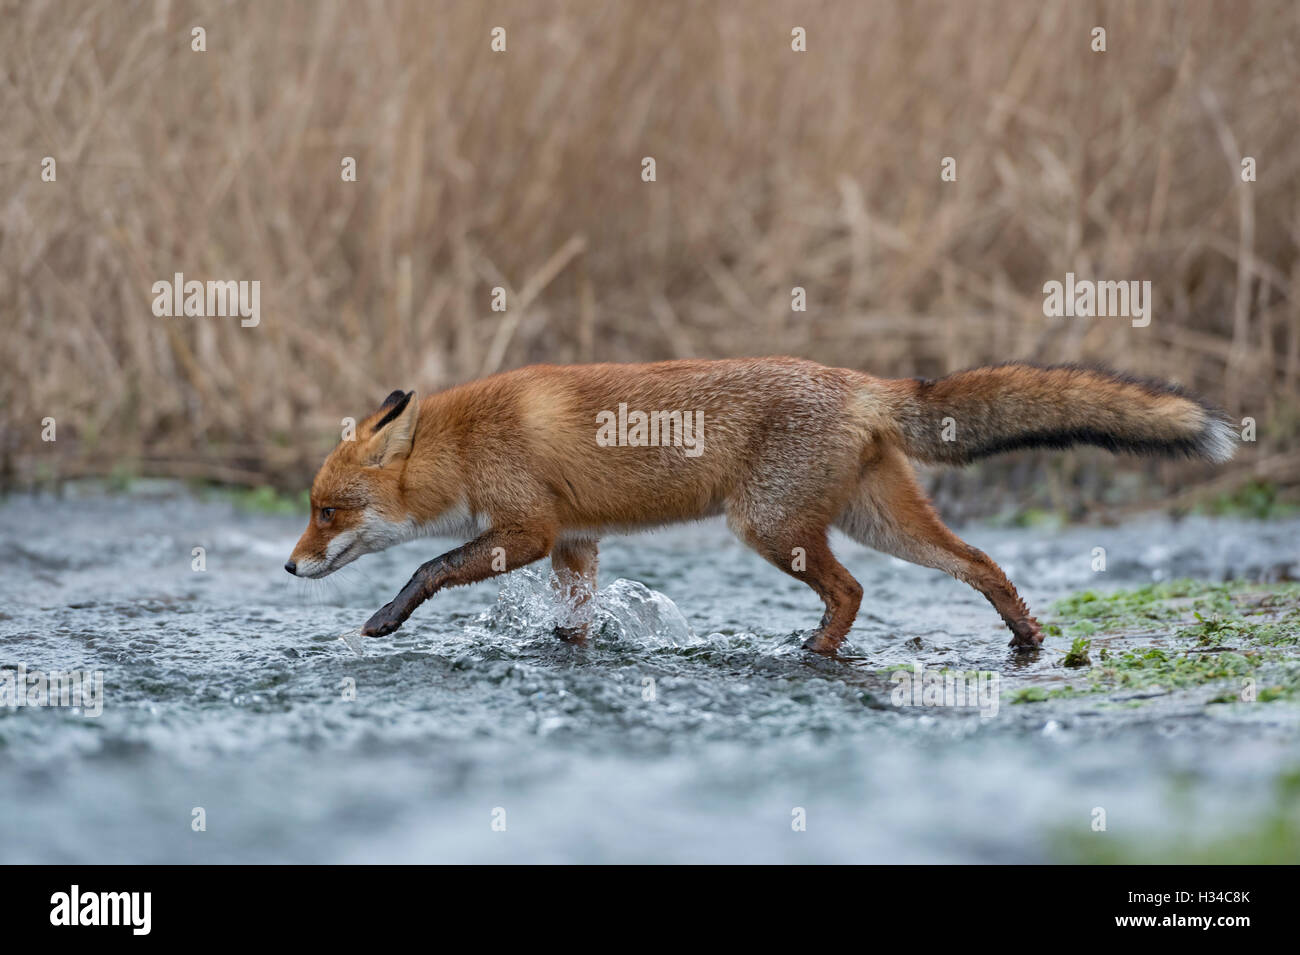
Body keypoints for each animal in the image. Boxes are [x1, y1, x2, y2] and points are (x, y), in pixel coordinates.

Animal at [284, 361, 1227, 657]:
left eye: (328, 511)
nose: (288, 565)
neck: (466, 443)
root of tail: (861, 383)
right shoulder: (576, 542)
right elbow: (574, 620)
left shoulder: (528, 527)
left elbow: (430, 563)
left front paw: (386, 618)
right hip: (881, 521)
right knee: (982, 562)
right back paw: (1027, 637)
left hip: (770, 528)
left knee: (852, 591)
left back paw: (814, 652)